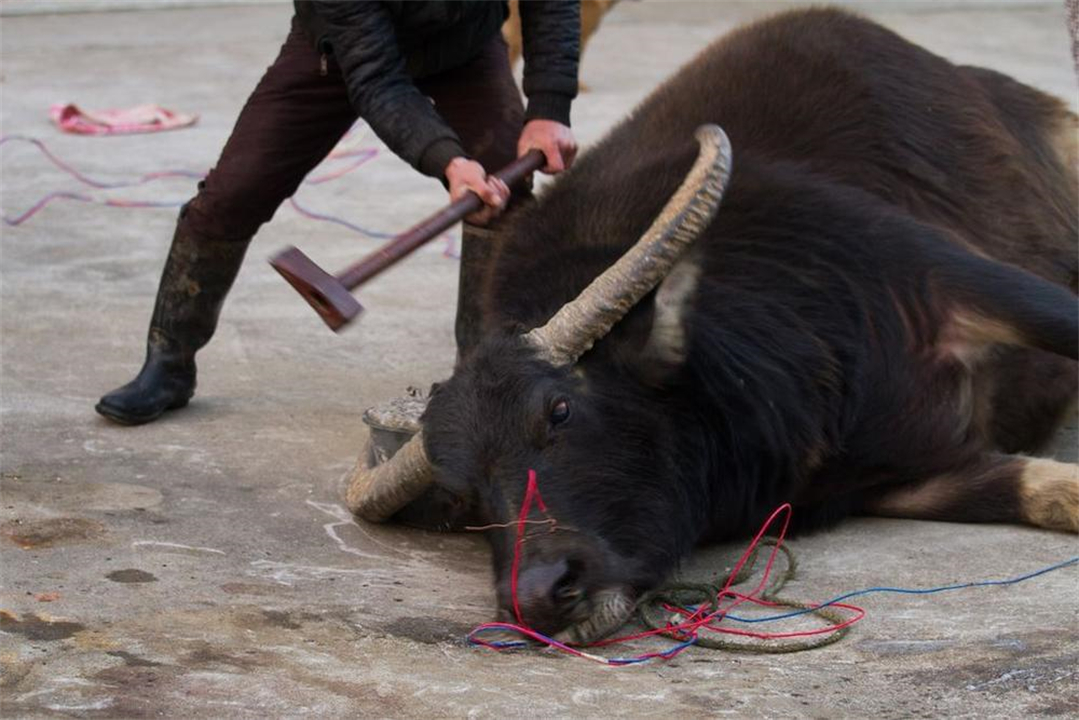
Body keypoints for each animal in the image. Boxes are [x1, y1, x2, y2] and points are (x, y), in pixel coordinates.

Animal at [349, 8, 1074, 643]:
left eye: (558, 410)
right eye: (465, 493)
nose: (539, 594)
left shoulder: (946, 276)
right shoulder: (887, 478)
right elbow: (1043, 493)